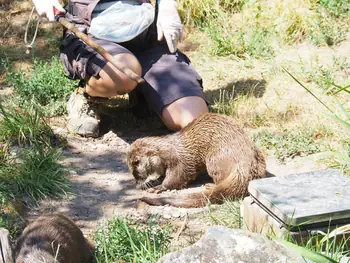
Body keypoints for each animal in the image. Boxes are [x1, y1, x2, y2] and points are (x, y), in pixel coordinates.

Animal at [126, 112, 266, 209]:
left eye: (136, 164)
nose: (136, 182)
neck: (168, 150)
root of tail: (245, 166)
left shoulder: (178, 161)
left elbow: (178, 177)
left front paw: (158, 187)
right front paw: (155, 181)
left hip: (214, 160)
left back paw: (210, 185)